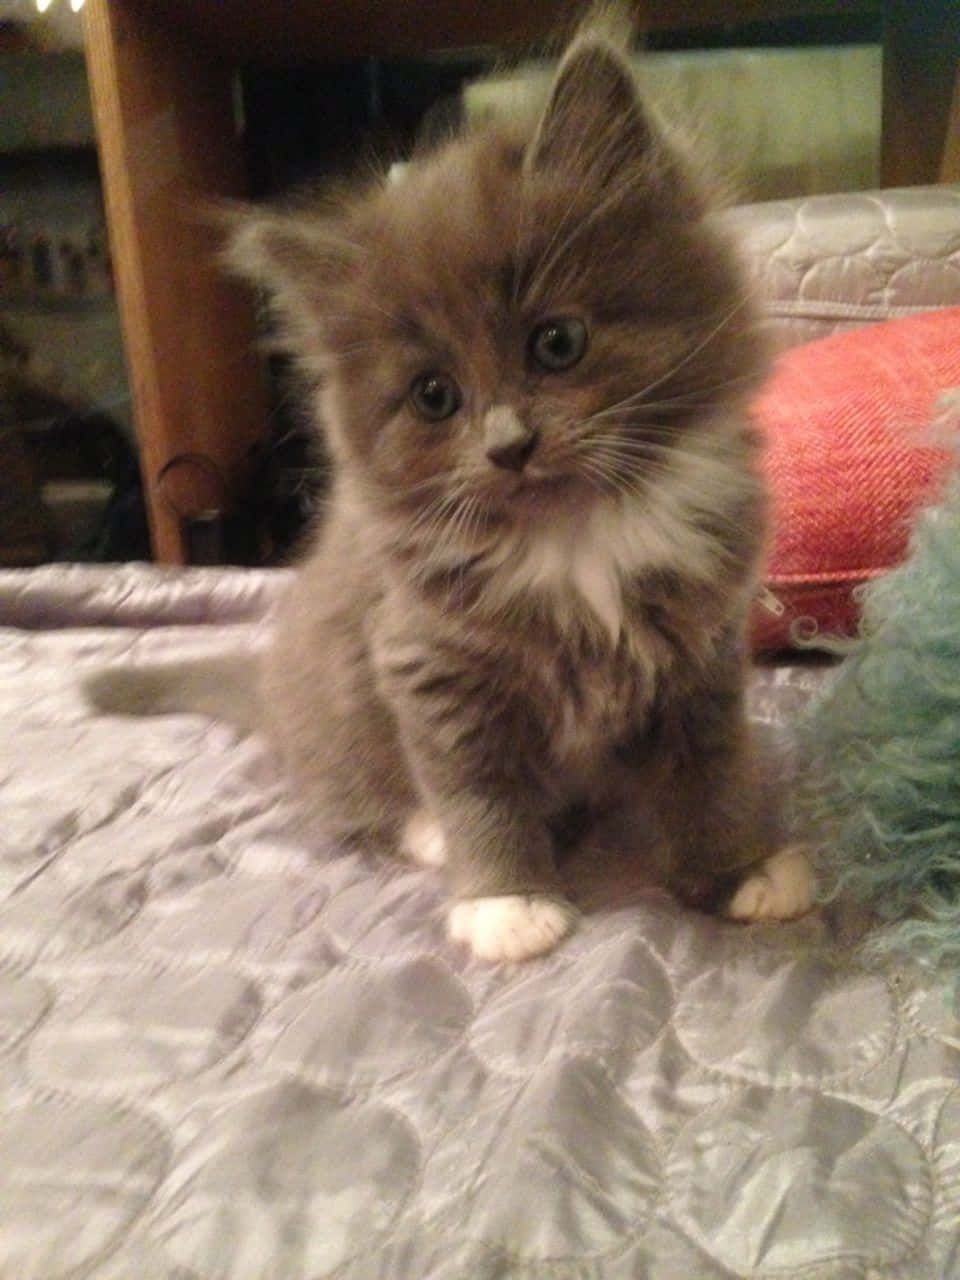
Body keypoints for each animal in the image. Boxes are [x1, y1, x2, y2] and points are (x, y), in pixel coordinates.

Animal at [90, 24, 814, 962]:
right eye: (433, 396)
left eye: (557, 342)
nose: (509, 445)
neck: (576, 535)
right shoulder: (428, 662)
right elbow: (478, 789)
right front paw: (505, 900)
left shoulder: (704, 653)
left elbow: (710, 772)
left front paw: (737, 870)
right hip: (341, 715)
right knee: (350, 800)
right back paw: (429, 832)